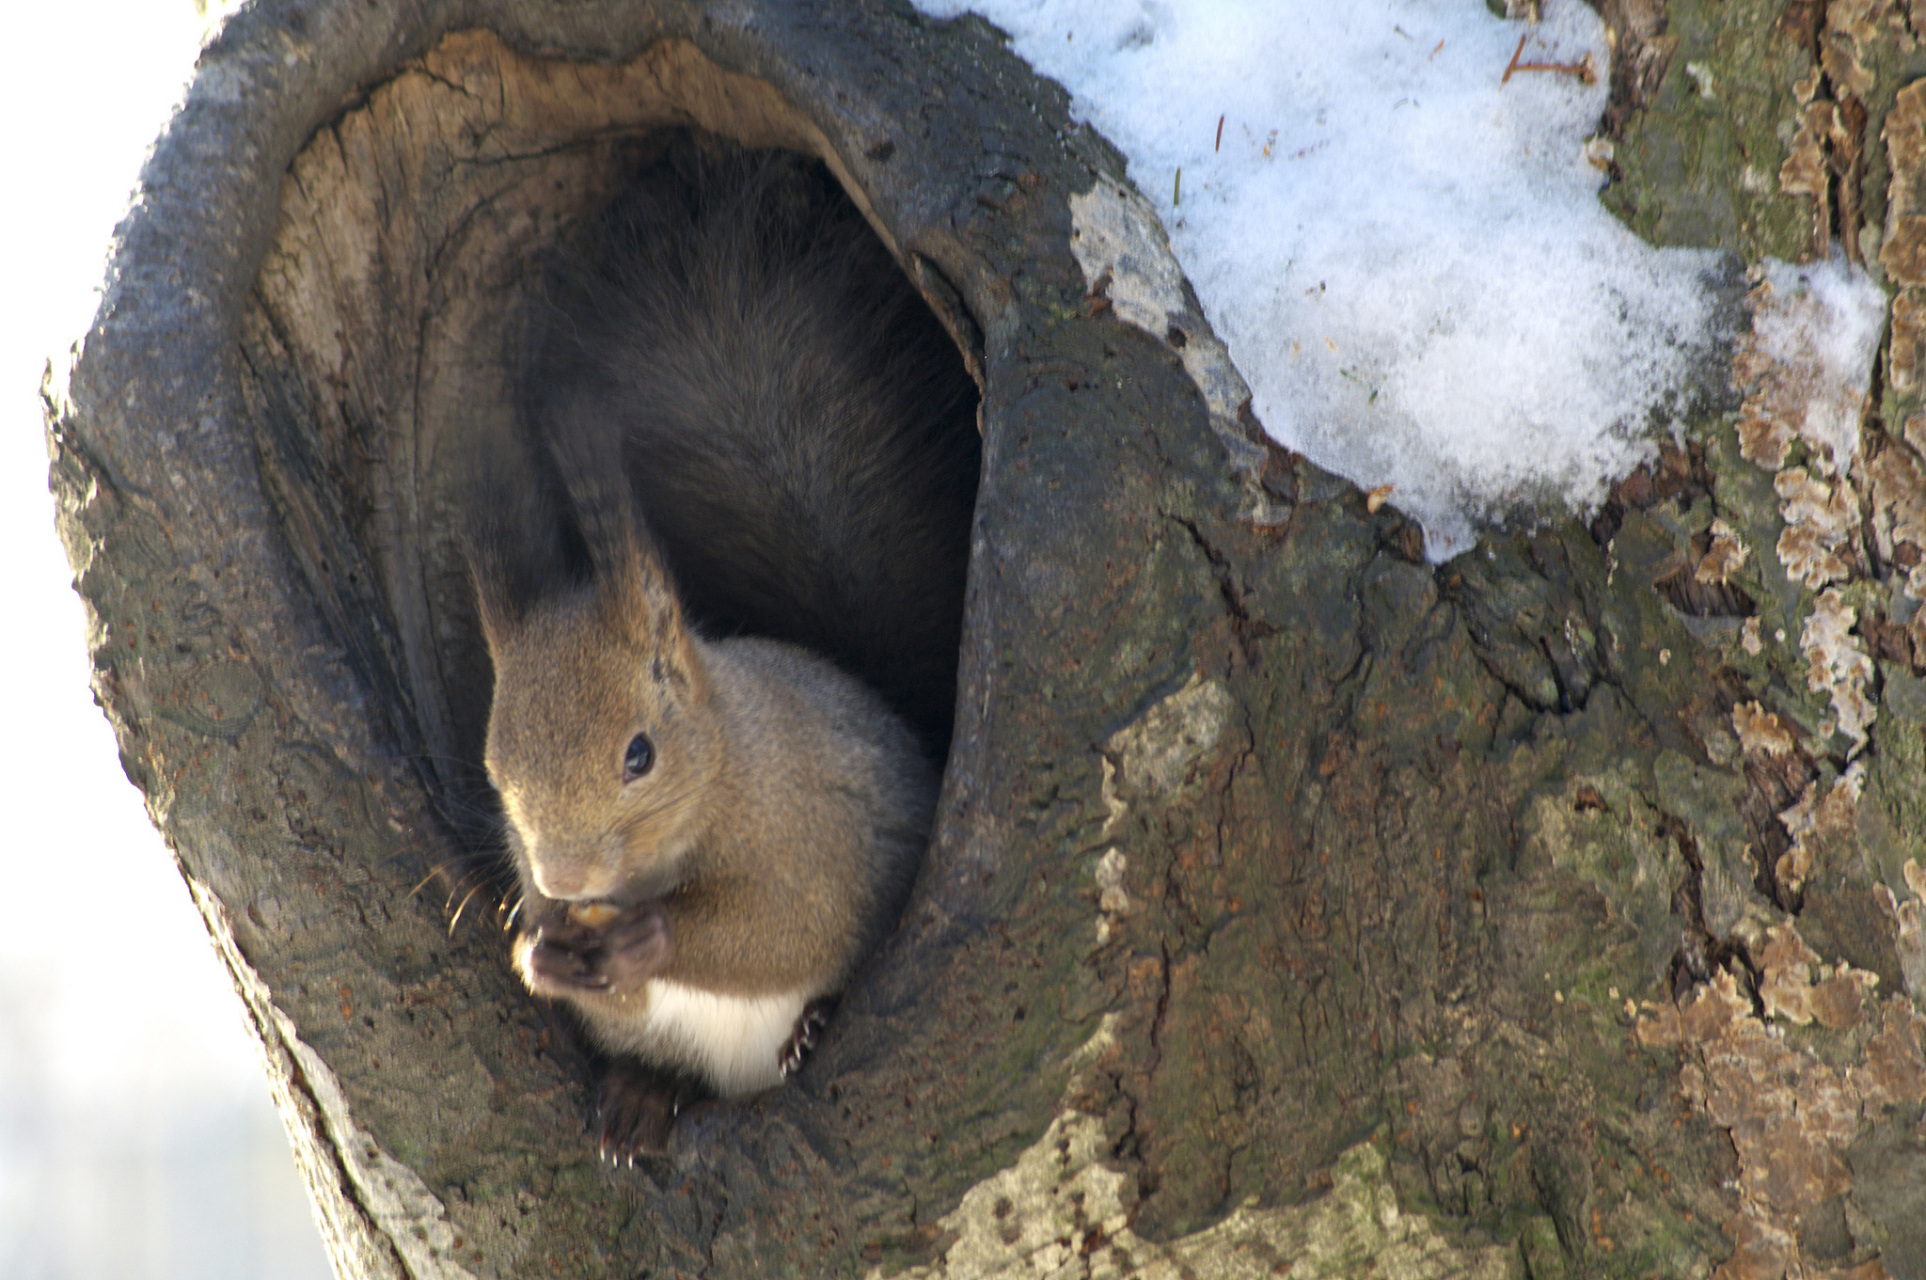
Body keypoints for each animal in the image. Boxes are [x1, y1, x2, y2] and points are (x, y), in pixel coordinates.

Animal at [462, 137, 978, 1154]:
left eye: (640, 755)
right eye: (498, 771)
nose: (562, 877)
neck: (730, 757)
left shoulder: (816, 831)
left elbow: (787, 925)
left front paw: (646, 941)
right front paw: (541, 951)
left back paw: (808, 1030)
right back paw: (640, 1096)